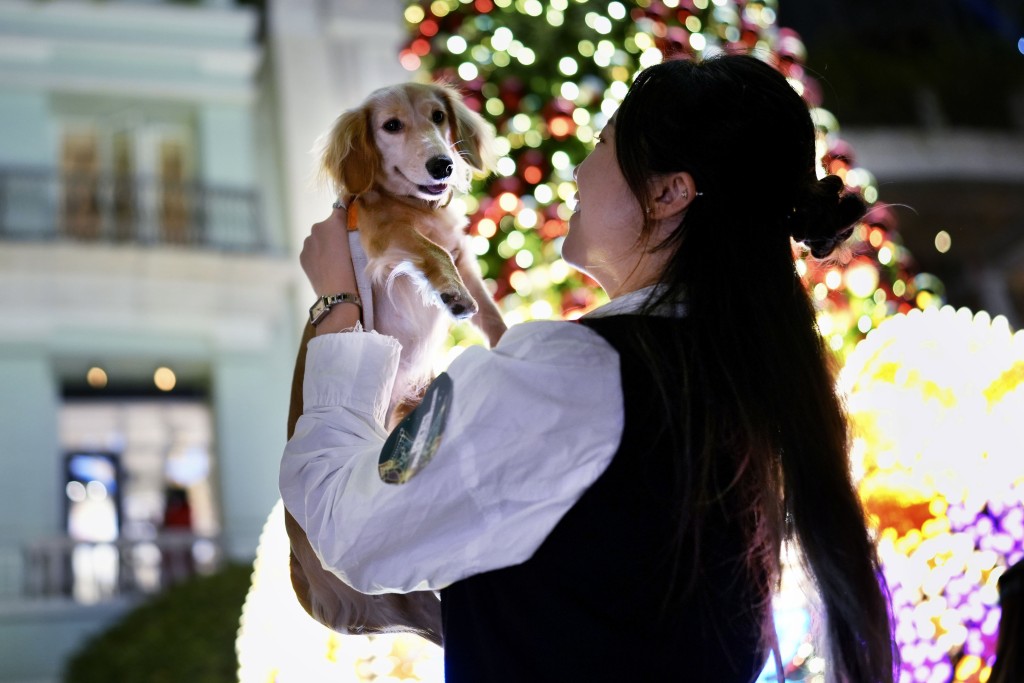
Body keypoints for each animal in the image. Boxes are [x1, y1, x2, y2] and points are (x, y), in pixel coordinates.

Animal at [284, 81, 507, 647]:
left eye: (437, 116)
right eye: (390, 126)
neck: (412, 205)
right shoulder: (390, 237)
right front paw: (450, 293)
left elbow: (489, 311)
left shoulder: (466, 257)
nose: (442, 164)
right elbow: (433, 254)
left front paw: (506, 337)